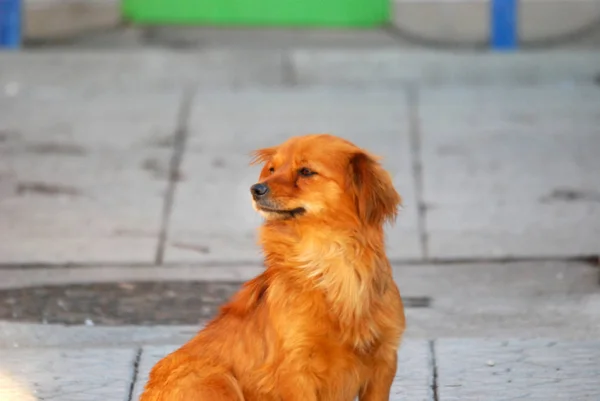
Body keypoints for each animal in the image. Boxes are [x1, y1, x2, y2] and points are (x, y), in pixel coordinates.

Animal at [138, 134, 406, 400]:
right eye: (272, 170)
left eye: (306, 171)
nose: (256, 189)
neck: (328, 263)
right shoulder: (295, 370)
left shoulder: (384, 360)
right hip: (217, 379)